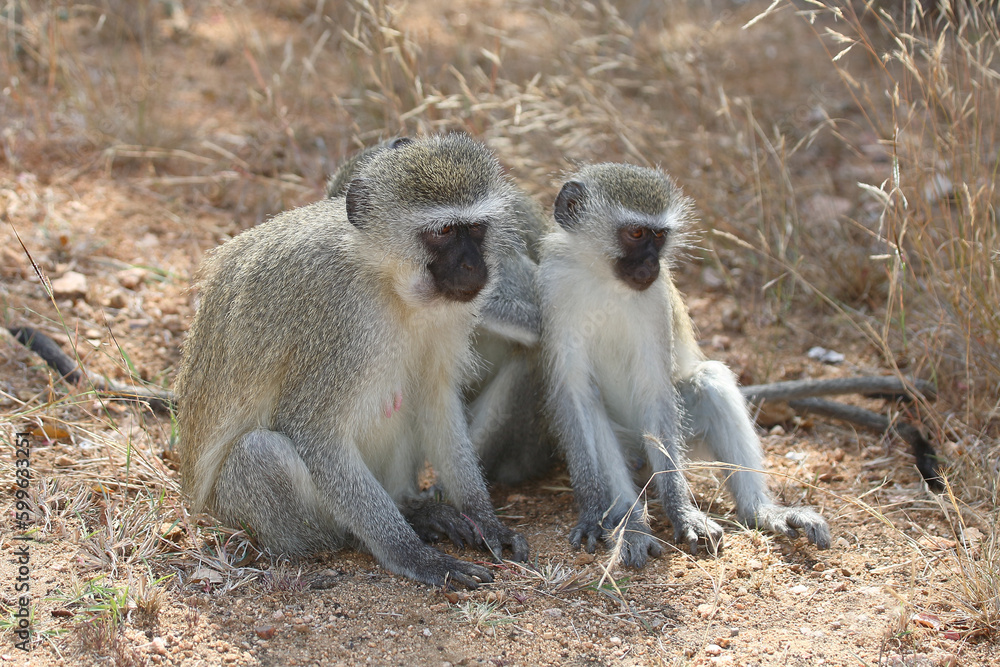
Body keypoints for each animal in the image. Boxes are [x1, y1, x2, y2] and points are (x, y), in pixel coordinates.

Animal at [173, 136, 532, 588]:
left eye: (477, 228)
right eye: (445, 232)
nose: (475, 266)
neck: (388, 280)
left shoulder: (451, 312)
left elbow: (435, 400)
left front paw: (485, 518)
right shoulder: (341, 315)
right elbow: (314, 433)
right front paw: (415, 555)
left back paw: (414, 507)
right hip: (236, 510)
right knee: (260, 453)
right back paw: (383, 530)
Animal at [544, 164, 832, 568]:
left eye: (660, 236)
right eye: (636, 234)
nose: (652, 263)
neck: (603, 278)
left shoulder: (655, 300)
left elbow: (656, 390)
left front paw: (681, 511)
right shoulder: (554, 289)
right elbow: (574, 394)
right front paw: (590, 511)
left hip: (685, 436)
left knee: (710, 381)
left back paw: (762, 511)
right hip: (629, 443)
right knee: (598, 417)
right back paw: (631, 524)